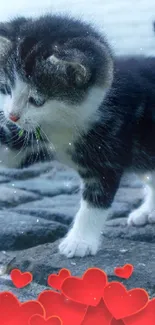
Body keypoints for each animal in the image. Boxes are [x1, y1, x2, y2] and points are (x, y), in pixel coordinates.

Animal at [0, 15, 155, 258]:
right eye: (7, 88)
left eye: (37, 100)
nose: (12, 116)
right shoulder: (36, 139)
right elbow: (12, 156)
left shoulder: (108, 150)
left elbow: (95, 201)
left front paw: (79, 241)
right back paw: (147, 211)